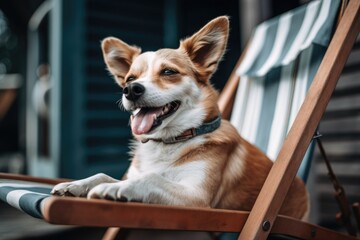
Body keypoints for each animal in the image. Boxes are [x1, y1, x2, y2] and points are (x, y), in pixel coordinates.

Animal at [51, 15, 310, 220]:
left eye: (168, 72)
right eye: (130, 78)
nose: (131, 89)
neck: (168, 142)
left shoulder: (196, 197)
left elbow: (151, 179)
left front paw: (110, 189)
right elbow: (104, 174)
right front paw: (76, 184)